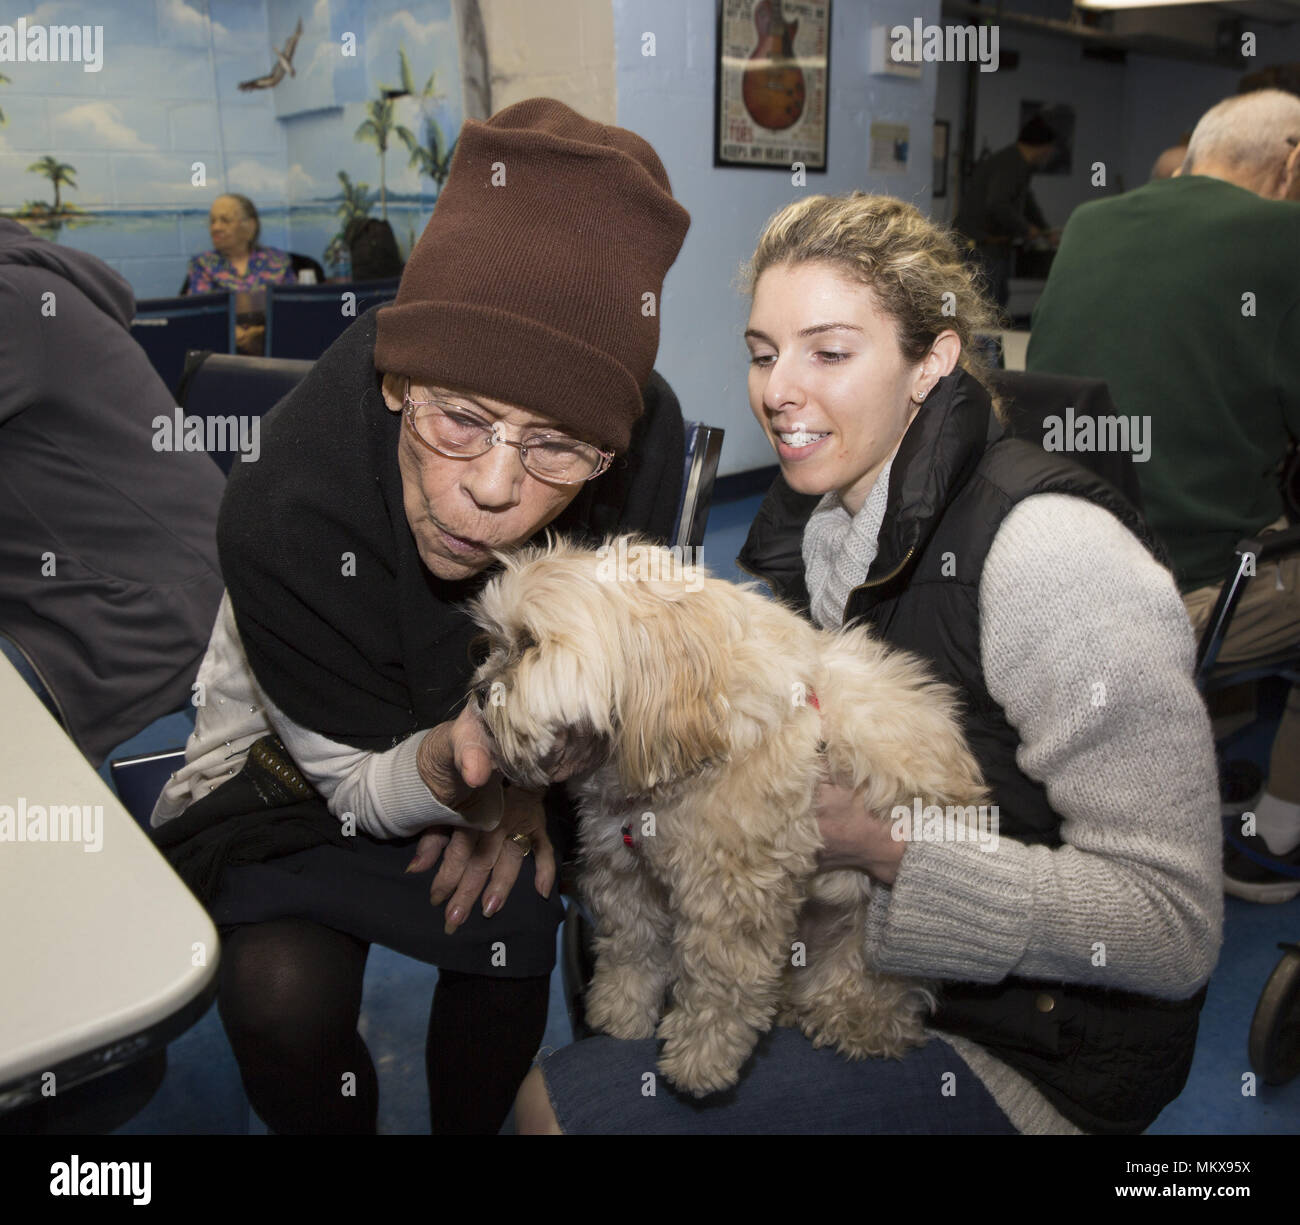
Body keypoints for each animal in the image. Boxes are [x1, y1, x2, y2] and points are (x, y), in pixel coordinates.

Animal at [467, 535, 982, 1102]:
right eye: (493, 642)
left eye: (529, 642)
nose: (478, 692)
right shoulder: (626, 872)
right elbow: (631, 947)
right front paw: (620, 1011)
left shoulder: (732, 895)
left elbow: (720, 985)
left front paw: (700, 1059)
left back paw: (849, 1021)